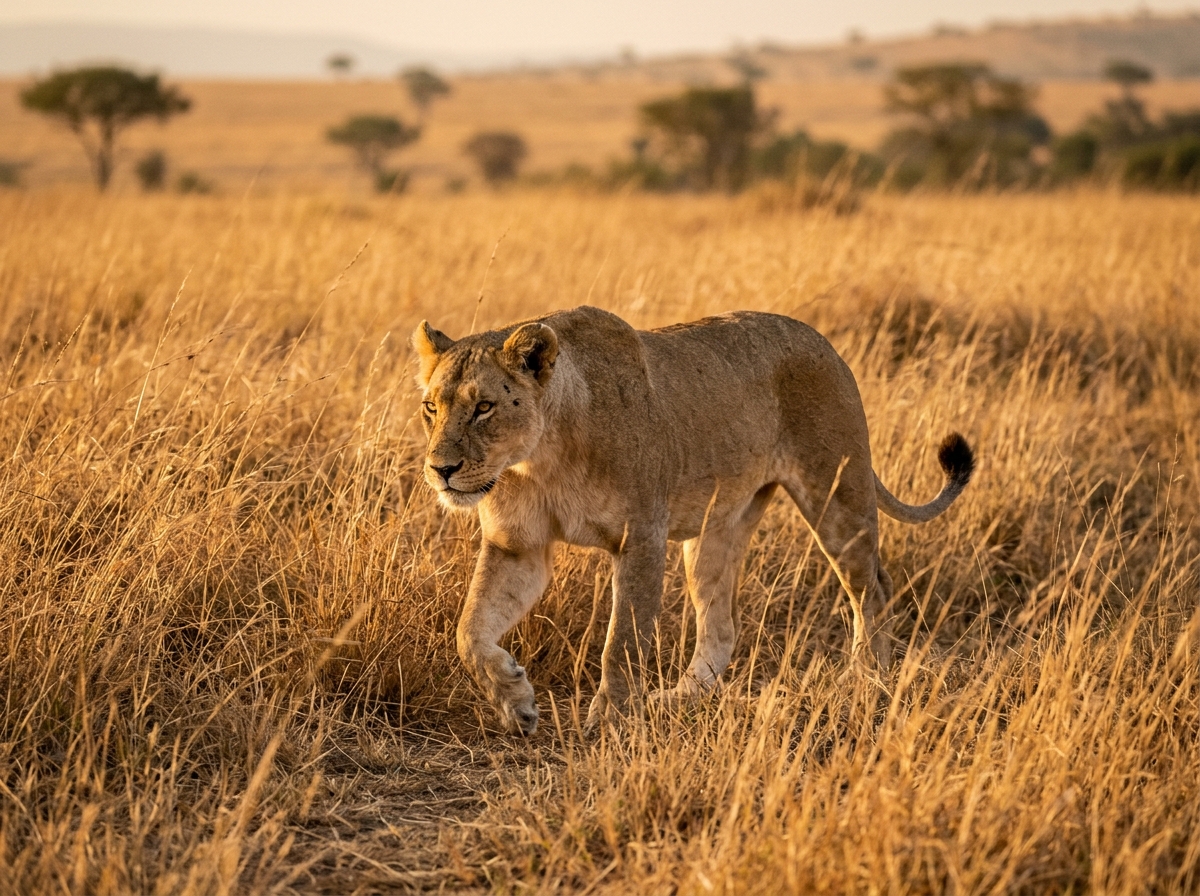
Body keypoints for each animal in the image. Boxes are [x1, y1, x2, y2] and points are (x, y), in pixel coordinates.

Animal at [413, 305, 973, 734]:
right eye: (430, 408)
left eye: (484, 407)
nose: (441, 470)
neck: (539, 458)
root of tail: (825, 343)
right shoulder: (517, 548)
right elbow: (469, 631)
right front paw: (515, 701)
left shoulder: (642, 536)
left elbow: (623, 640)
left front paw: (611, 719)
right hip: (714, 533)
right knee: (722, 626)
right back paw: (680, 697)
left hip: (837, 494)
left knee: (872, 587)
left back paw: (865, 678)